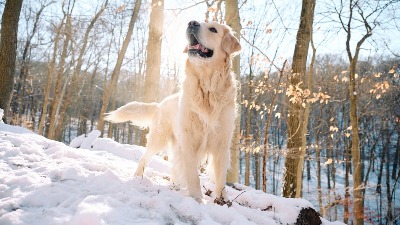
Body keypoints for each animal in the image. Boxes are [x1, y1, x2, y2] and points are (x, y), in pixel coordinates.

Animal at [104, 19, 241, 202]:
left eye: (213, 29)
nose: (192, 23)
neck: (207, 88)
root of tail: (159, 103)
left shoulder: (221, 143)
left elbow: (220, 178)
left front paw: (222, 200)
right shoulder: (189, 141)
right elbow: (193, 176)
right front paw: (197, 199)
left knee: (175, 167)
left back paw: (175, 186)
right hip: (159, 138)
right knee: (144, 157)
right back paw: (138, 177)